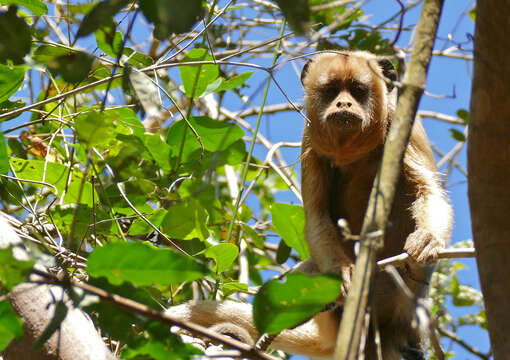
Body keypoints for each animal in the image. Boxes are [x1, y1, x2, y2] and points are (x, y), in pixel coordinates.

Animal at [165, 51, 452, 360]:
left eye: (358, 90)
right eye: (331, 91)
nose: (343, 103)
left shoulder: (404, 121)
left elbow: (428, 190)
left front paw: (427, 238)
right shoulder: (310, 137)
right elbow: (316, 217)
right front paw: (340, 272)